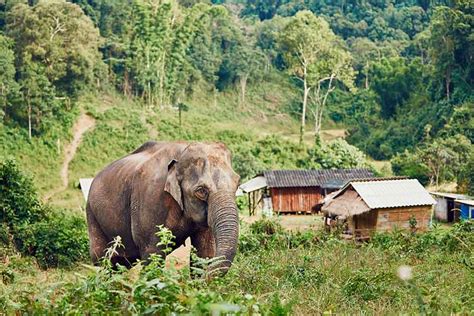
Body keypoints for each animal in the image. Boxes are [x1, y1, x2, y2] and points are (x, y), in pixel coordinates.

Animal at [85, 142, 239, 276]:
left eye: (237, 184)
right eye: (201, 191)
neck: (182, 150)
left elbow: (205, 251)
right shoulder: (151, 197)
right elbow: (153, 254)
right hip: (92, 214)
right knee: (104, 261)